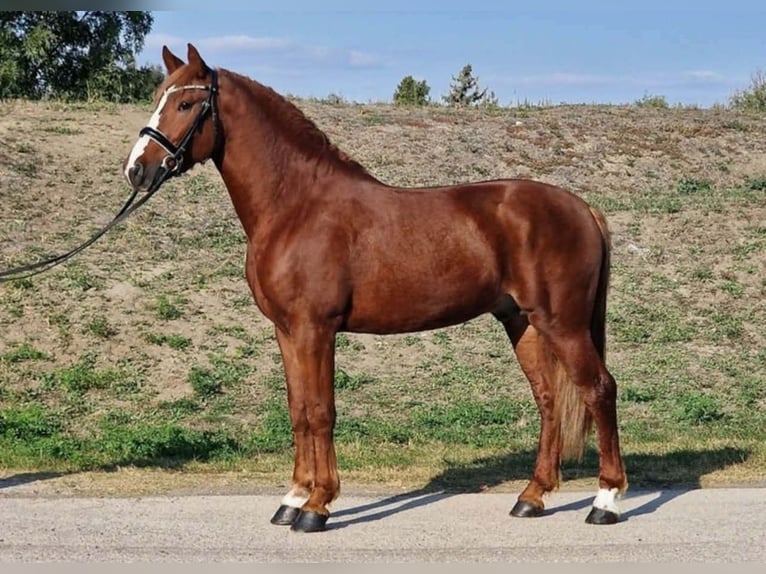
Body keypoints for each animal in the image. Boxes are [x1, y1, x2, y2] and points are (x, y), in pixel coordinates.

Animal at [123, 43, 628, 532]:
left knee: (600, 389)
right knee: (548, 400)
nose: (137, 171)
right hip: (522, 322)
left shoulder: (315, 329)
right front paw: (292, 498)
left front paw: (318, 505)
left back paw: (605, 501)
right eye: (159, 98)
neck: (295, 207)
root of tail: (583, 208)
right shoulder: (287, 331)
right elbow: (298, 410)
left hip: (563, 324)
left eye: (186, 104)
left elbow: (321, 411)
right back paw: (532, 497)